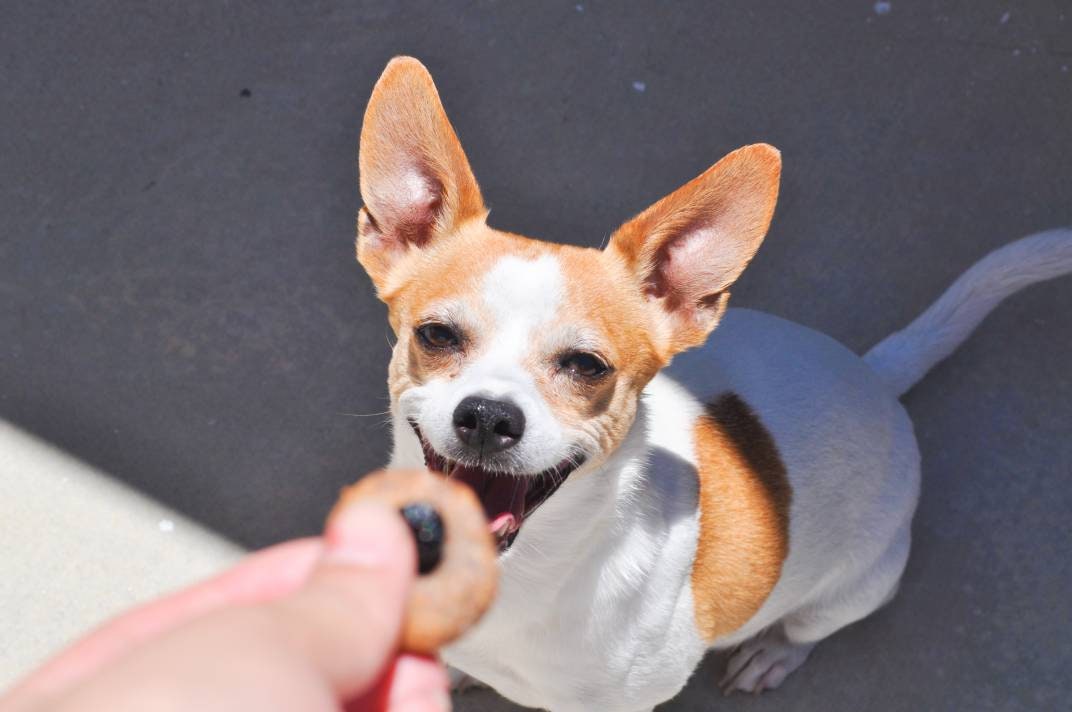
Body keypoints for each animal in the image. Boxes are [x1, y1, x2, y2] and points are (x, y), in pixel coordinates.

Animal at [353, 58, 1072, 707]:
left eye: (587, 366)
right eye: (437, 335)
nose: (488, 417)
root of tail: (874, 371)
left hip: (858, 585)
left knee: (810, 627)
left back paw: (772, 652)